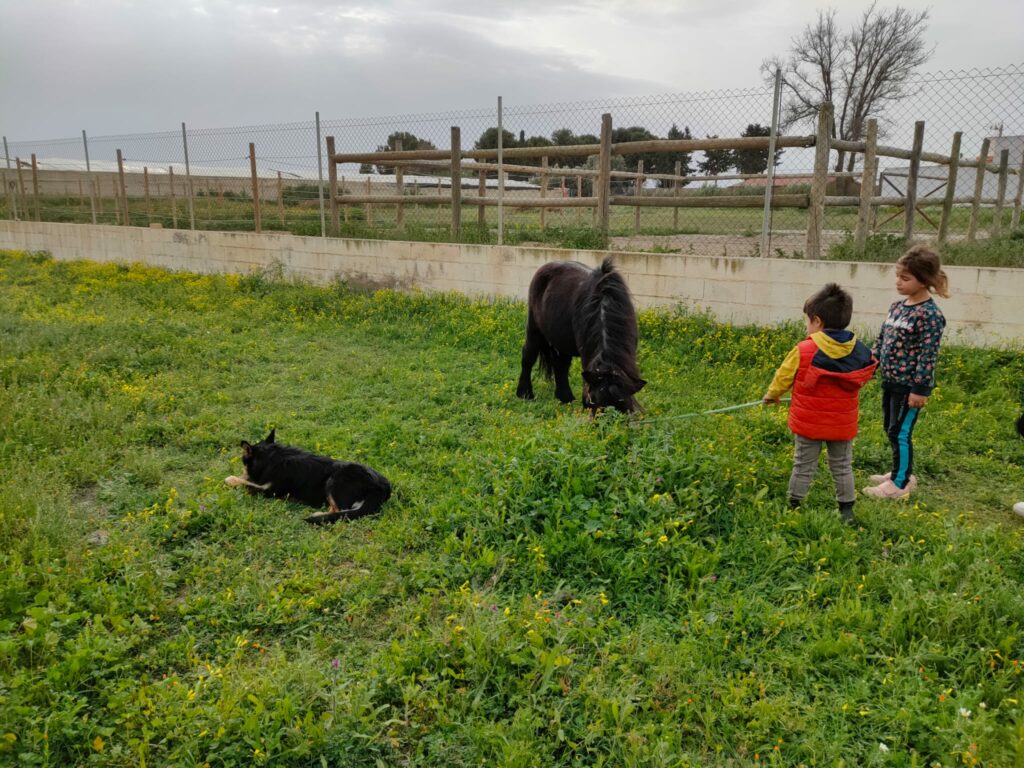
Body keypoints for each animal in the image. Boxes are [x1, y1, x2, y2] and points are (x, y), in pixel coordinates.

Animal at [516, 258, 646, 412]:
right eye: (593, 400)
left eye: (624, 406)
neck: (604, 307)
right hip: (534, 329)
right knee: (528, 358)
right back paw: (524, 393)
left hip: (562, 340)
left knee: (561, 366)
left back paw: (565, 398)